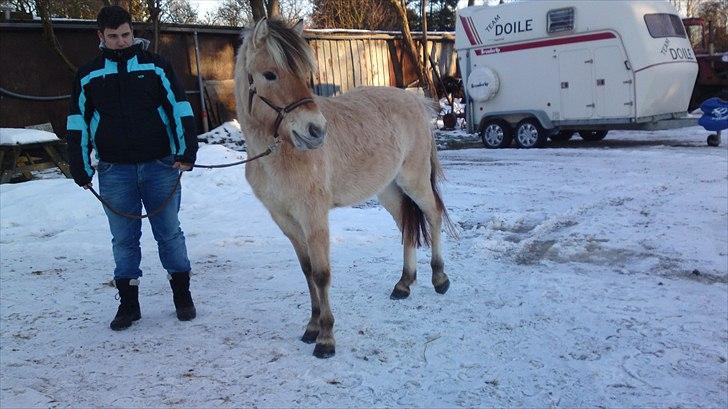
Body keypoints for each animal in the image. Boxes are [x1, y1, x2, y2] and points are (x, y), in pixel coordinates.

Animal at [233, 18, 452, 356]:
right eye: (270, 74)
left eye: (303, 74)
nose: (316, 130)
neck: (278, 152)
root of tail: (416, 101)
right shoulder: (285, 220)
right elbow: (307, 270)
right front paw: (312, 326)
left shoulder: (314, 217)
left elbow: (322, 274)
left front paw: (326, 337)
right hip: (388, 190)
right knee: (406, 227)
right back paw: (404, 283)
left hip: (413, 182)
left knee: (434, 215)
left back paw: (440, 278)